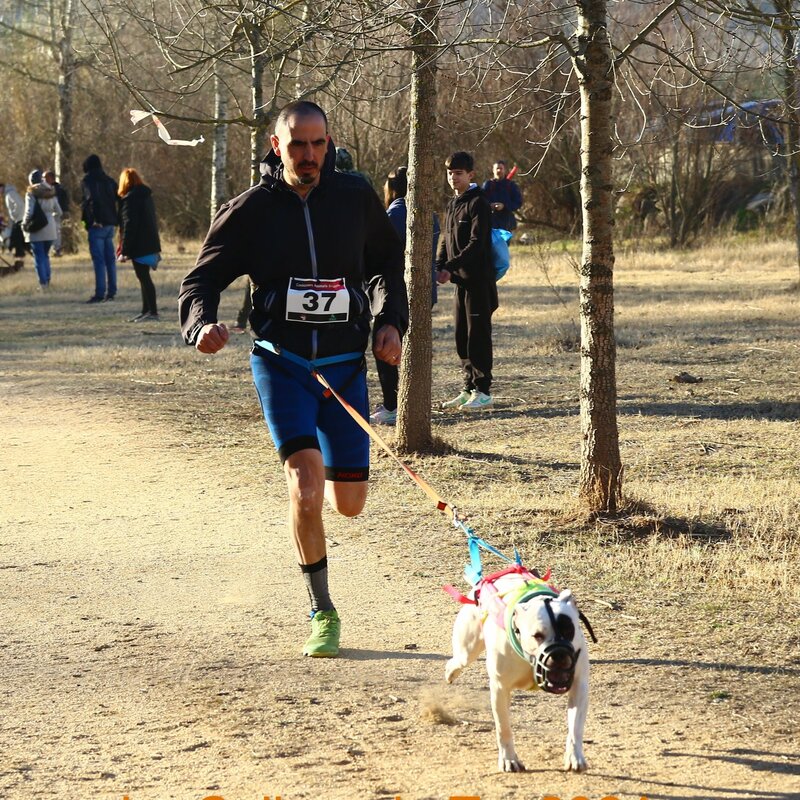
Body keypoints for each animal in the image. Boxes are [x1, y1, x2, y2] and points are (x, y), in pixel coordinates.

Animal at [444, 565, 593, 773]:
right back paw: (450, 672)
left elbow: (575, 728)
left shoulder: (579, 686)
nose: (559, 654)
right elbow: (503, 729)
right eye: (537, 635)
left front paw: (574, 756)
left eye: (568, 630)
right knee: (458, 660)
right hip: (468, 648)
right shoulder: (500, 689)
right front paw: (509, 759)